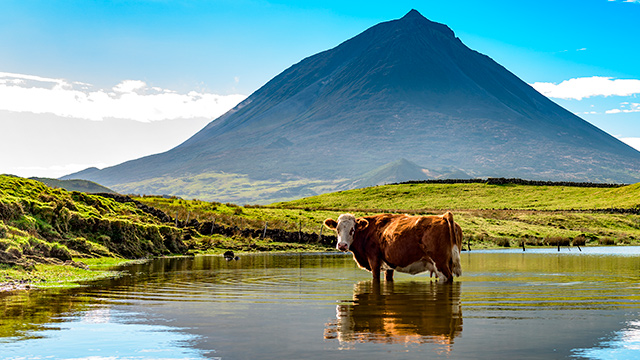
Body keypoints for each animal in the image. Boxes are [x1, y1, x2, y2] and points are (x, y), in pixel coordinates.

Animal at [322, 212, 462, 282]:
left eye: (353, 229)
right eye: (337, 229)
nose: (342, 245)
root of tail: (443, 217)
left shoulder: (374, 260)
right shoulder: (389, 265)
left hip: (440, 264)